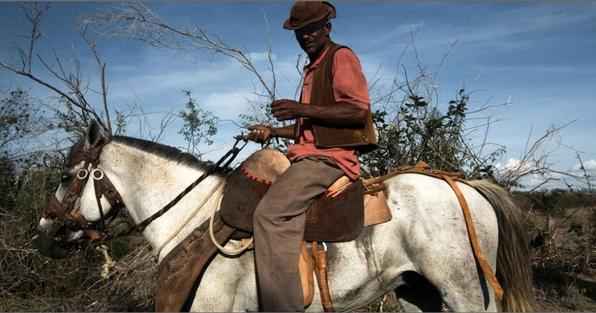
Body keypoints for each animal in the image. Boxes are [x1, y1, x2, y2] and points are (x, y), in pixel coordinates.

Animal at [38, 122, 536, 310]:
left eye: (66, 175)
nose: (44, 231)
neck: (194, 218)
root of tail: (465, 186)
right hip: (417, 292)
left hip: (463, 291)